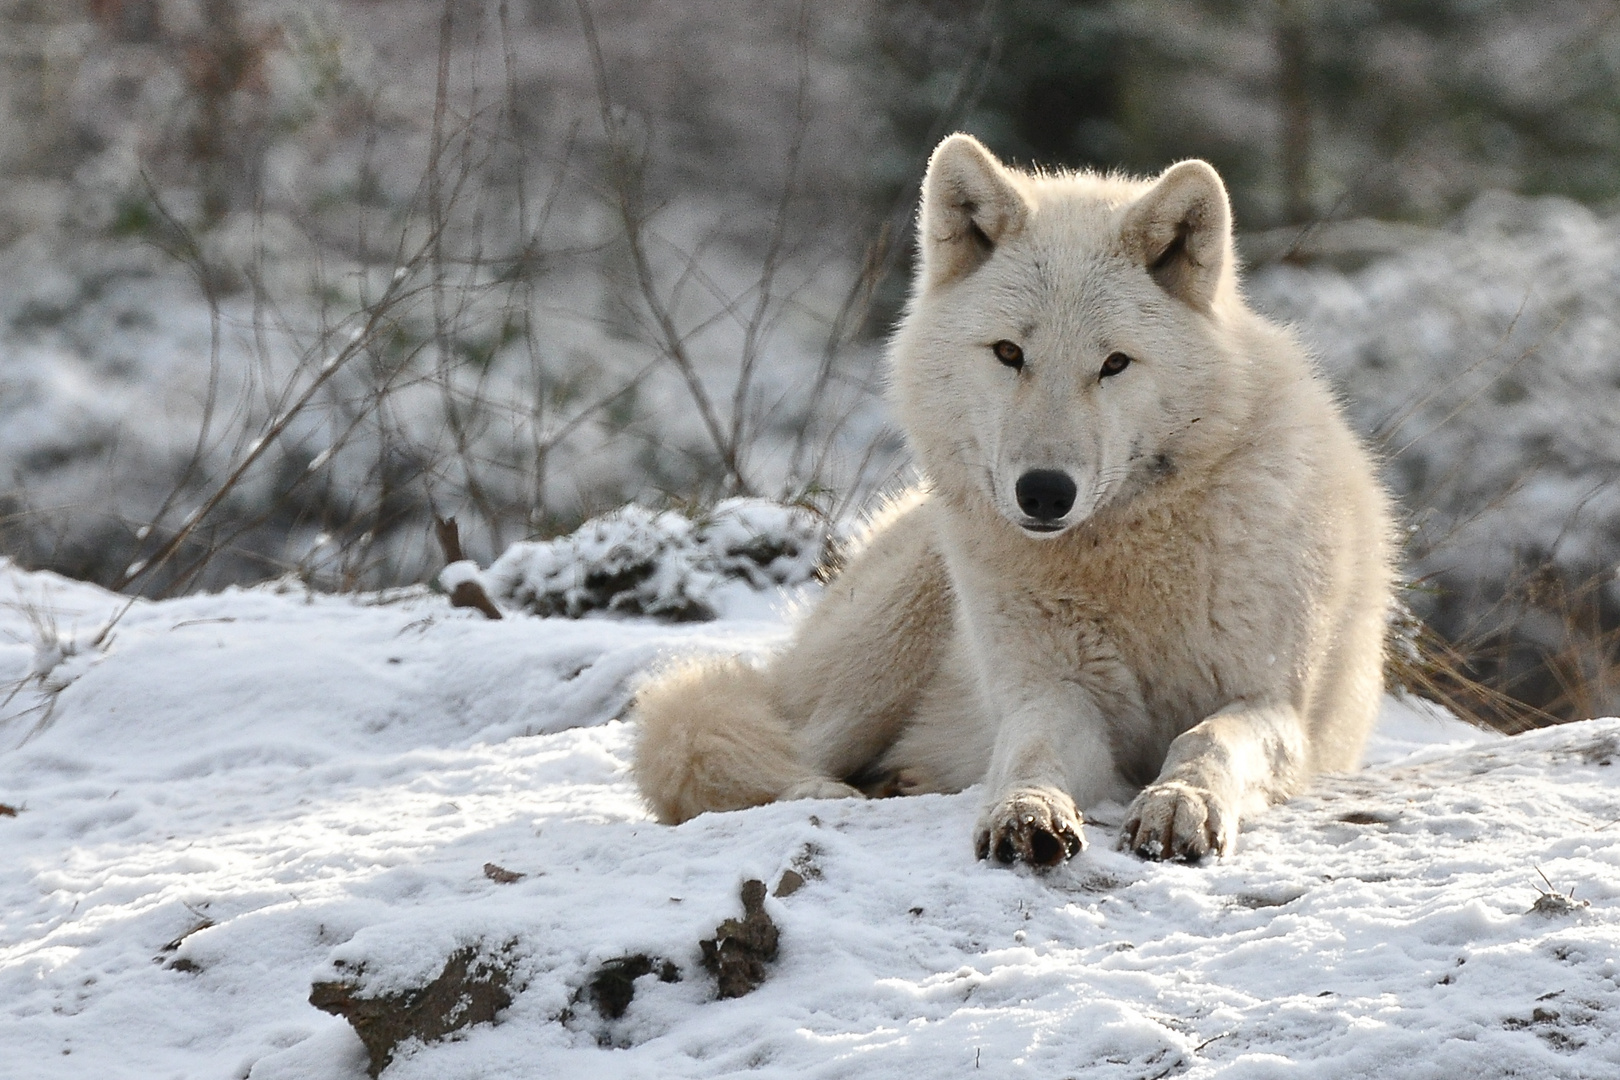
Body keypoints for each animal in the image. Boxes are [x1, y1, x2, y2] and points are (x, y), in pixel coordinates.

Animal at [632, 134, 1395, 866]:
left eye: (1114, 364)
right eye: (1008, 353)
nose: (1045, 492)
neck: (1126, 555)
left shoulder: (1275, 706)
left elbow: (1207, 739)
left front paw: (1179, 804)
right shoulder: (1052, 694)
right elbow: (1033, 750)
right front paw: (1026, 811)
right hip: (891, 637)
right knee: (728, 747)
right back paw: (836, 789)